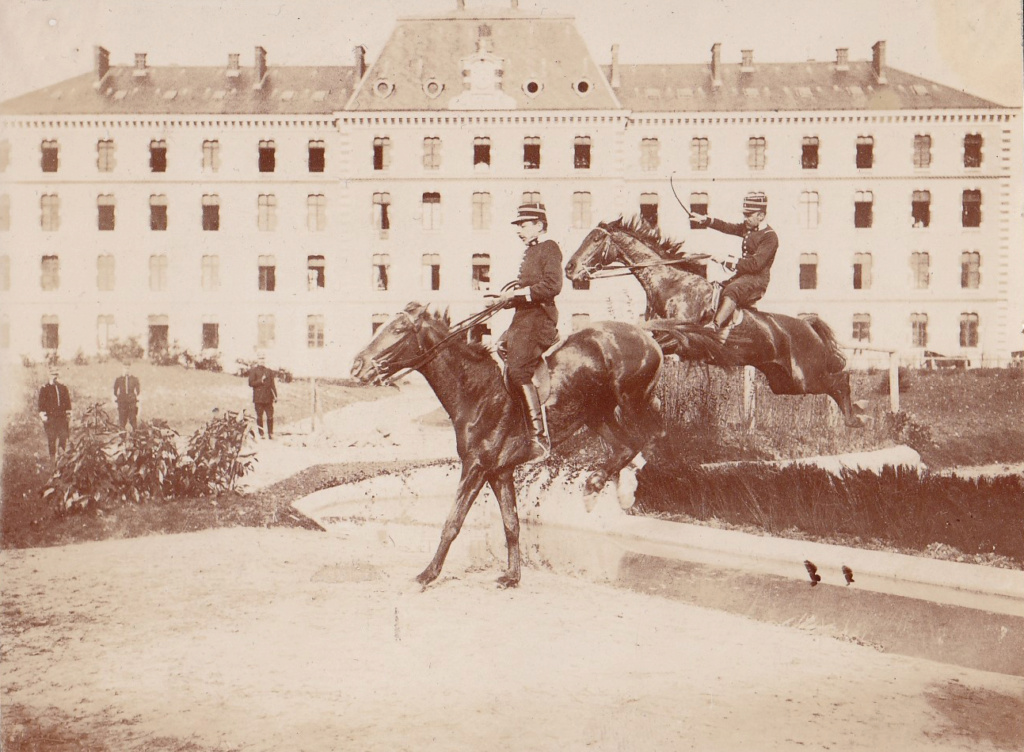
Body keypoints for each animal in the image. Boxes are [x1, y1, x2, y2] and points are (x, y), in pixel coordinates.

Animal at [350, 301, 663, 590]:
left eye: (398, 329)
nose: (357, 366)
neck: (478, 391)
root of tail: (645, 336)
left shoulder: (476, 467)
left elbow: (453, 522)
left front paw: (428, 574)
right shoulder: (499, 472)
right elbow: (511, 524)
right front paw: (513, 576)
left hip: (631, 401)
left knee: (649, 436)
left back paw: (618, 485)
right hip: (598, 414)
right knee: (625, 447)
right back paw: (597, 487)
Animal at [565, 218, 860, 430]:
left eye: (595, 239)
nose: (569, 268)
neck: (673, 285)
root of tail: (808, 325)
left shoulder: (680, 340)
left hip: (806, 376)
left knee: (840, 379)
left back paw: (855, 417)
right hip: (784, 382)